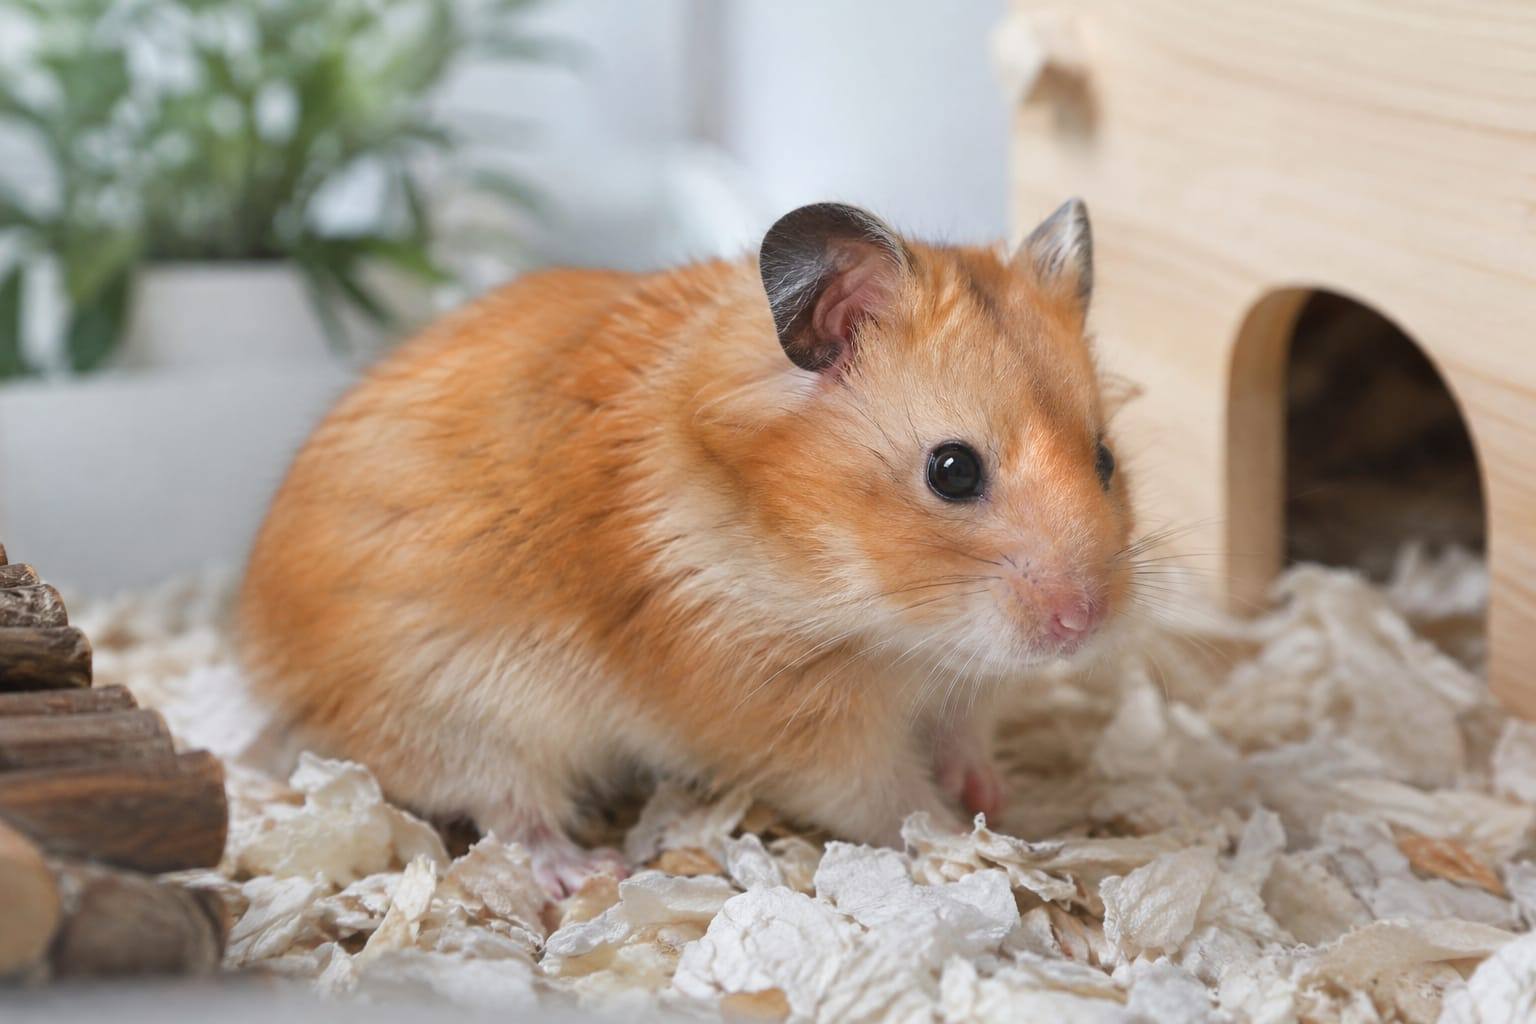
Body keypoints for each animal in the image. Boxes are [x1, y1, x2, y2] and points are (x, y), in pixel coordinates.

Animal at [238, 199, 1135, 895]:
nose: (1082, 624)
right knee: (509, 813)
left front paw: (995, 794)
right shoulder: (783, 719)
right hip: (464, 709)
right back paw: (587, 871)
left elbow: (961, 735)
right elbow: (889, 799)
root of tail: (269, 672)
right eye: (952, 470)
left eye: (1105, 459)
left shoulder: (956, 686)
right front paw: (973, 839)